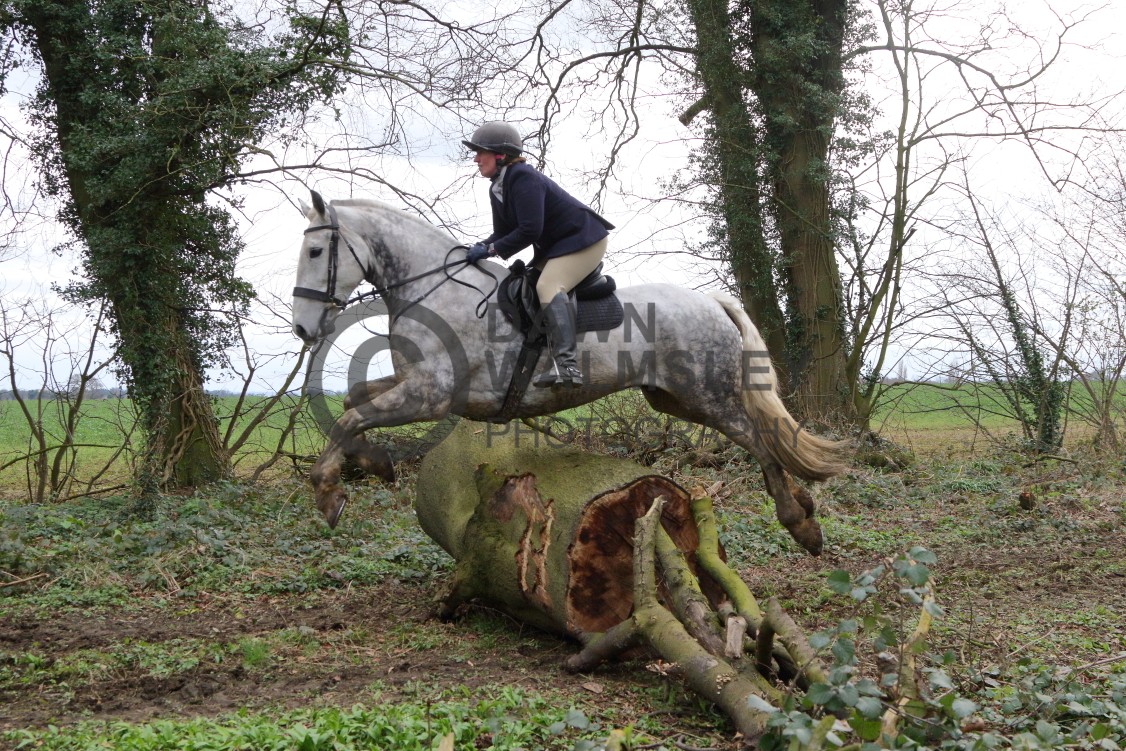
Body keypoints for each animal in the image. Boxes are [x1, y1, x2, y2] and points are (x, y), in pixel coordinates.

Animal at [290, 191, 849, 555]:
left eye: (316, 251)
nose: (301, 328)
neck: (435, 290)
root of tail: (710, 300)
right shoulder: (417, 389)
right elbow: (353, 402)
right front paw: (374, 464)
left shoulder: (432, 396)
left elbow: (351, 415)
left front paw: (327, 493)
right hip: (675, 398)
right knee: (760, 438)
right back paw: (803, 510)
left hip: (709, 396)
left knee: (760, 439)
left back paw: (800, 522)